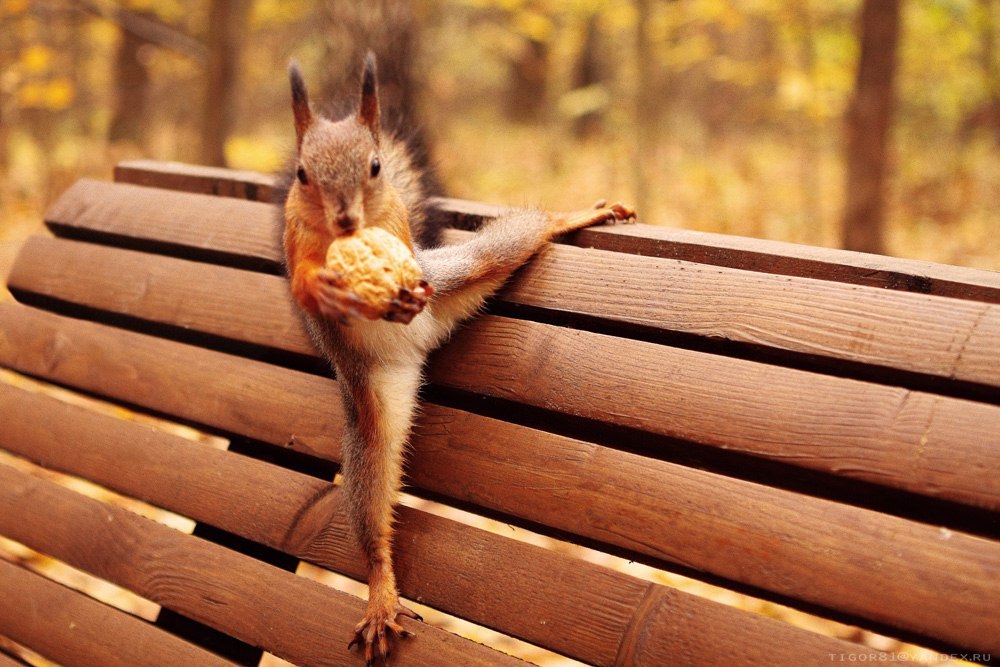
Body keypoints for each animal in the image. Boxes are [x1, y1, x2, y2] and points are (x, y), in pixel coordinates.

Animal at [280, 53, 632, 667]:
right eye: (303, 174)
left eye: (375, 167)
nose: (346, 221)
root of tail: (417, 345)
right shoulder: (293, 235)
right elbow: (305, 276)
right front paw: (330, 288)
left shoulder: (396, 227)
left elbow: (396, 243)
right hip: (370, 415)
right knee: (372, 506)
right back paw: (380, 590)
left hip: (462, 269)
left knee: (514, 239)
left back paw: (568, 218)